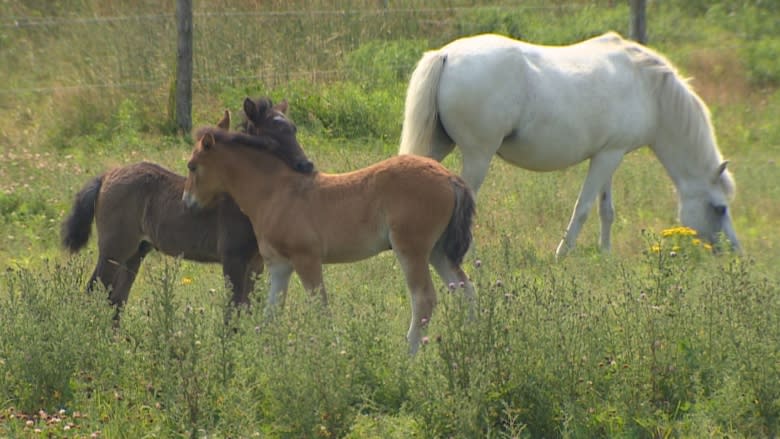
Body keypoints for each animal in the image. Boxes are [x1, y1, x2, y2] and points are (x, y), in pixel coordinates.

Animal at [400, 32, 740, 260]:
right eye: (719, 208)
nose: (734, 252)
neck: (648, 88)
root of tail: (446, 55)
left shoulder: (610, 156)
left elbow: (606, 209)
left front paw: (605, 254)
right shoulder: (606, 158)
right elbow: (584, 208)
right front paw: (562, 254)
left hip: (438, 147)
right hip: (478, 156)